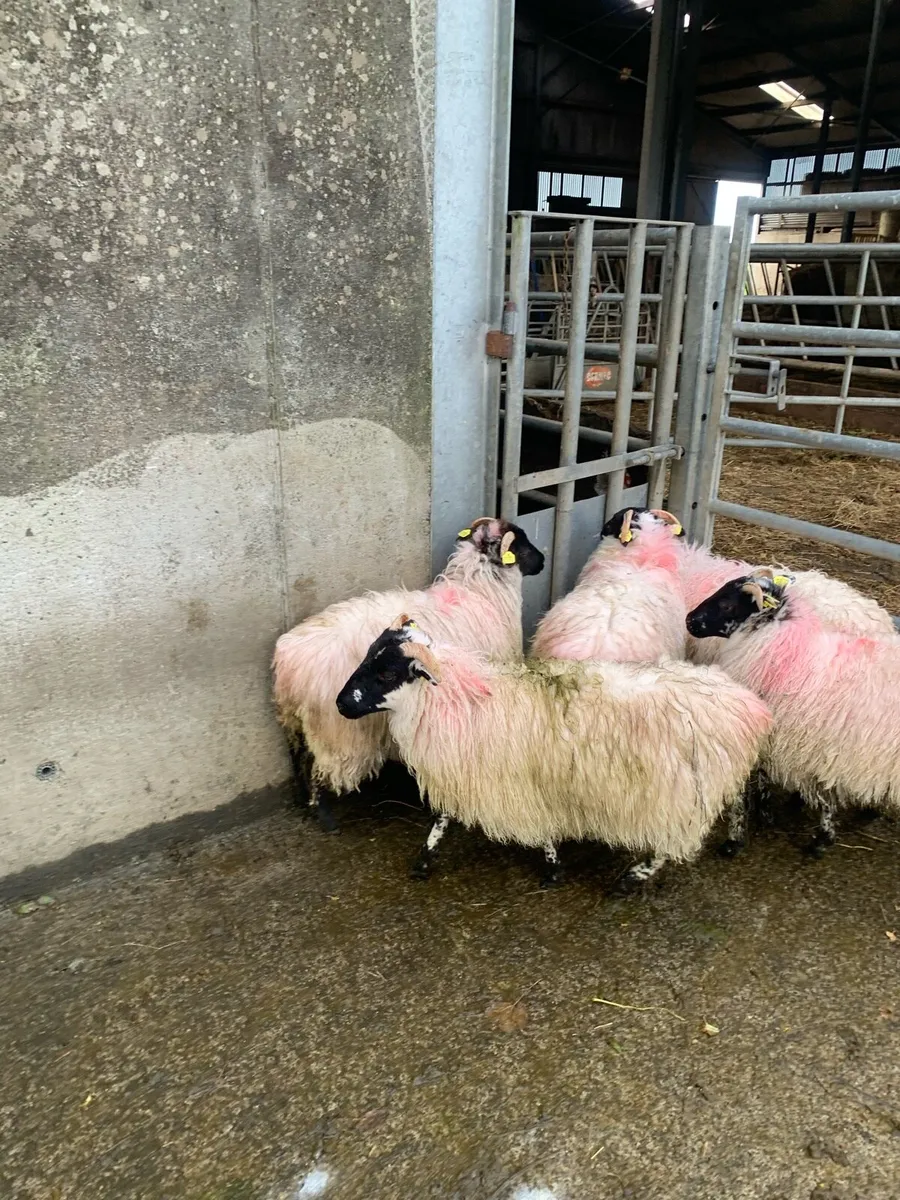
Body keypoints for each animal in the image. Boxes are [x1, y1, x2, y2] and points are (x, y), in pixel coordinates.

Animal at [272, 518, 545, 831]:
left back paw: (302, 800)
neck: (479, 590)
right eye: (521, 544)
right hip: (336, 731)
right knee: (320, 768)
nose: (543, 561)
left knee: (298, 757)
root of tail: (288, 658)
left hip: (295, 722)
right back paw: (325, 816)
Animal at [335, 615, 772, 888]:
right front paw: (424, 861)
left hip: (679, 797)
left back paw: (632, 878)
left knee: (672, 843)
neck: (459, 700)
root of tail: (748, 707)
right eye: (367, 656)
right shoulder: (473, 773)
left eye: (387, 672)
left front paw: (552, 869)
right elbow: (442, 820)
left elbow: (537, 828)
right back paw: (734, 841)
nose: (340, 704)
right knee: (737, 800)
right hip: (711, 780)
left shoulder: (515, 782)